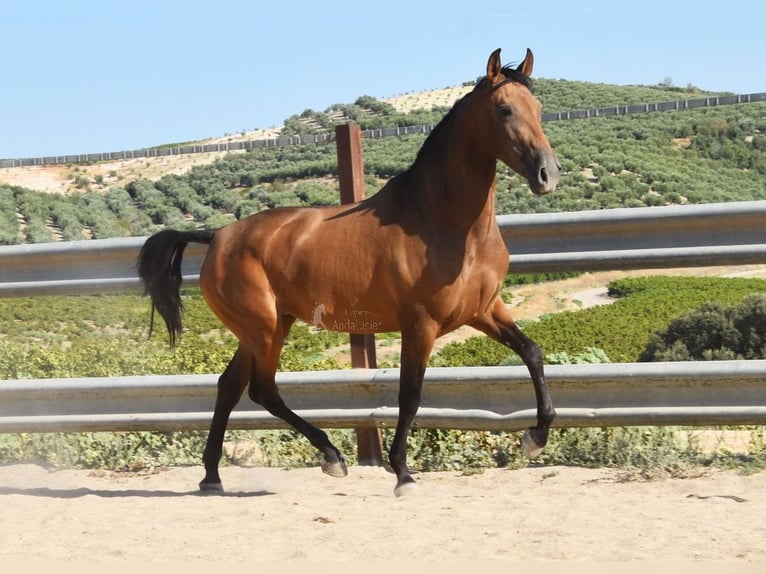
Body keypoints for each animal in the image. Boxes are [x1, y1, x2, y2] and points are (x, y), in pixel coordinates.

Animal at [140, 48, 564, 500]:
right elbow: (410, 395)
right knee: (261, 388)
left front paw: (535, 437)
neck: (444, 224)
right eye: (504, 110)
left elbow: (533, 352)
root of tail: (217, 235)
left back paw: (213, 476)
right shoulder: (421, 325)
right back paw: (331, 456)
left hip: (266, 326)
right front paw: (402, 474)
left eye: (539, 108)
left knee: (229, 386)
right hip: (264, 329)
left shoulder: (484, 311)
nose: (548, 174)